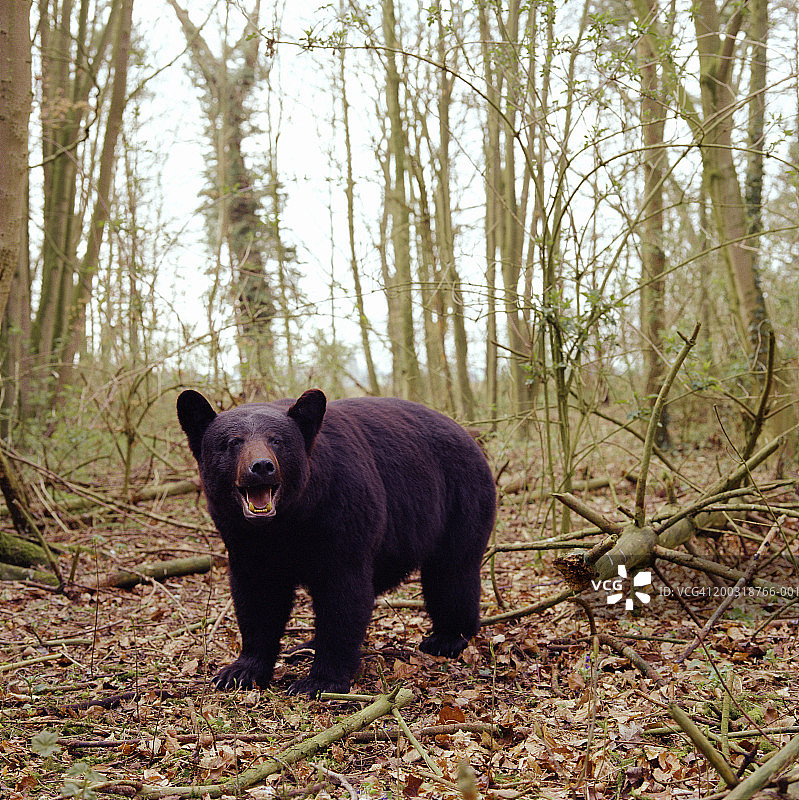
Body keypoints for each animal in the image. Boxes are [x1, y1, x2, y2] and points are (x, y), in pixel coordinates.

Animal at [177, 388, 496, 697]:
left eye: (277, 441)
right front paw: (241, 671)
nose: (262, 466)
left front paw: (320, 680)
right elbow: (257, 596)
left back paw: (448, 638)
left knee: (452, 572)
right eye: (233, 442)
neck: (285, 522)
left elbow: (343, 593)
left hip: (462, 497)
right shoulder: (243, 538)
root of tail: (468, 435)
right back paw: (305, 646)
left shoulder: (341, 511)